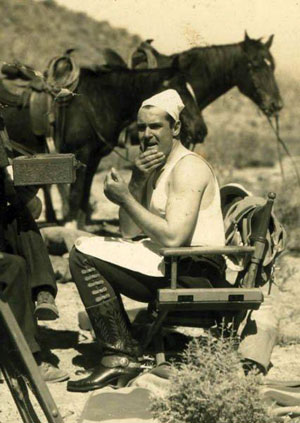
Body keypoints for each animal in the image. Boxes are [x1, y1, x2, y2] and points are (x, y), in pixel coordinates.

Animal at [1, 60, 203, 229]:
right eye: (179, 93)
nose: (200, 129)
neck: (98, 102)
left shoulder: (94, 157)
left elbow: (85, 192)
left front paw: (80, 225)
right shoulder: (80, 152)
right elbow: (76, 192)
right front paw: (70, 224)